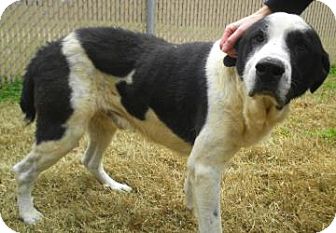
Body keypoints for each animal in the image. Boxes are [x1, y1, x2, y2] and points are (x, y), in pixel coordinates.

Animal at [13, 13, 328, 233]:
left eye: (301, 47)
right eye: (256, 39)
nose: (269, 68)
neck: (237, 86)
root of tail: (49, 47)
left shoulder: (200, 163)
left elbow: (192, 193)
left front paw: (189, 209)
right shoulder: (206, 168)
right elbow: (212, 221)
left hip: (103, 123)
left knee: (89, 160)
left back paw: (113, 187)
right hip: (62, 130)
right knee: (23, 170)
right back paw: (29, 215)